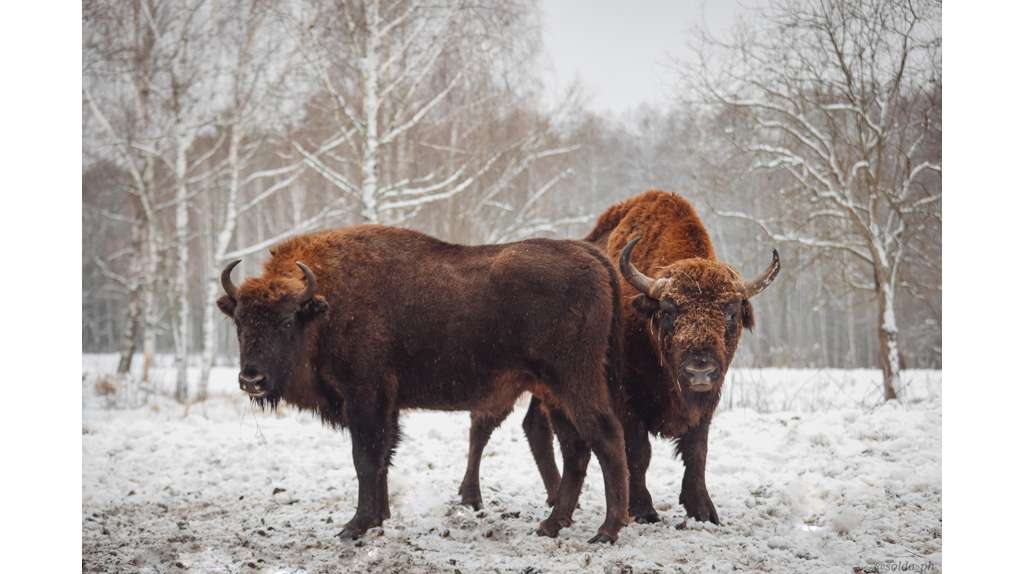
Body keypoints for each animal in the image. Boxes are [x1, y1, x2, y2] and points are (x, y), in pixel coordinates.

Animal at [219, 224, 626, 540]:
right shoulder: (384, 405)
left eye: (287, 322)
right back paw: (551, 524)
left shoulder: (364, 397)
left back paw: (607, 530)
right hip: (552, 392)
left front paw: (354, 526)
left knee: (605, 435)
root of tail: (589, 254)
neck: (326, 305)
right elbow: (382, 459)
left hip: (574, 380)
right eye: (239, 321)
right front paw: (378, 518)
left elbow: (365, 458)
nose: (251, 379)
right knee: (575, 447)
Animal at [460, 190, 778, 527]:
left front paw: (703, 511)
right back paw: (471, 498)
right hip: (503, 382)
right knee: (481, 427)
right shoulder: (625, 402)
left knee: (534, 428)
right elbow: (637, 452)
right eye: (668, 310)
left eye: (731, 312)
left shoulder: (707, 401)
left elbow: (696, 450)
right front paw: (643, 510)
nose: (699, 370)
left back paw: (557, 496)